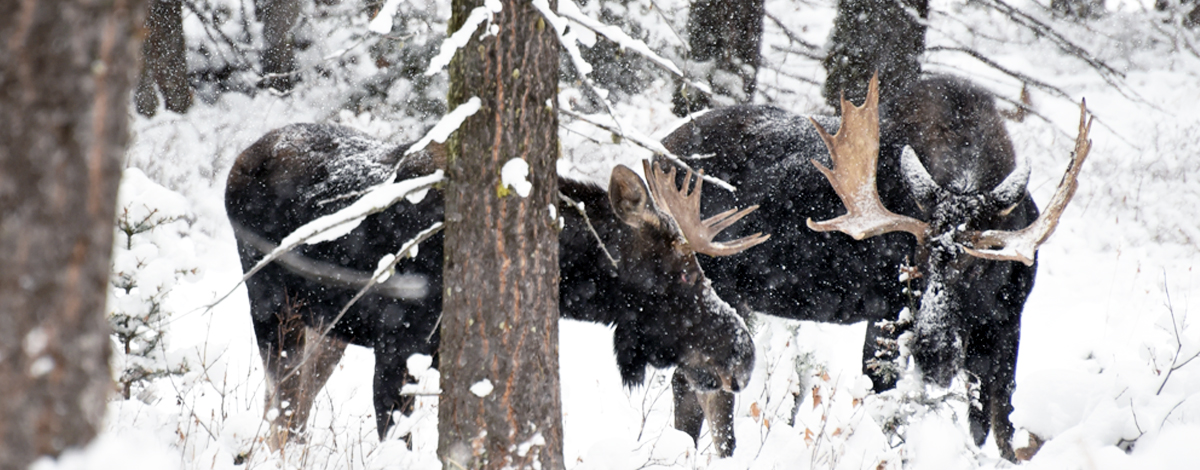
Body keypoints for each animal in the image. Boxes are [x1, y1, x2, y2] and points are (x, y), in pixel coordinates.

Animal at [223, 123, 768, 455]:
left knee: (296, 412)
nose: (743, 355)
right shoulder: (397, 349)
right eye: (681, 270)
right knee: (280, 411)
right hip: (274, 312)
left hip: (329, 328)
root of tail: (241, 158)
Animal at [659, 75, 1091, 461]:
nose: (933, 351)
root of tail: (656, 154)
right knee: (701, 388)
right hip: (712, 289)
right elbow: (887, 409)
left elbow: (999, 428)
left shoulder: (1006, 322)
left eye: (979, 265)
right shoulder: (887, 315)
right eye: (915, 261)